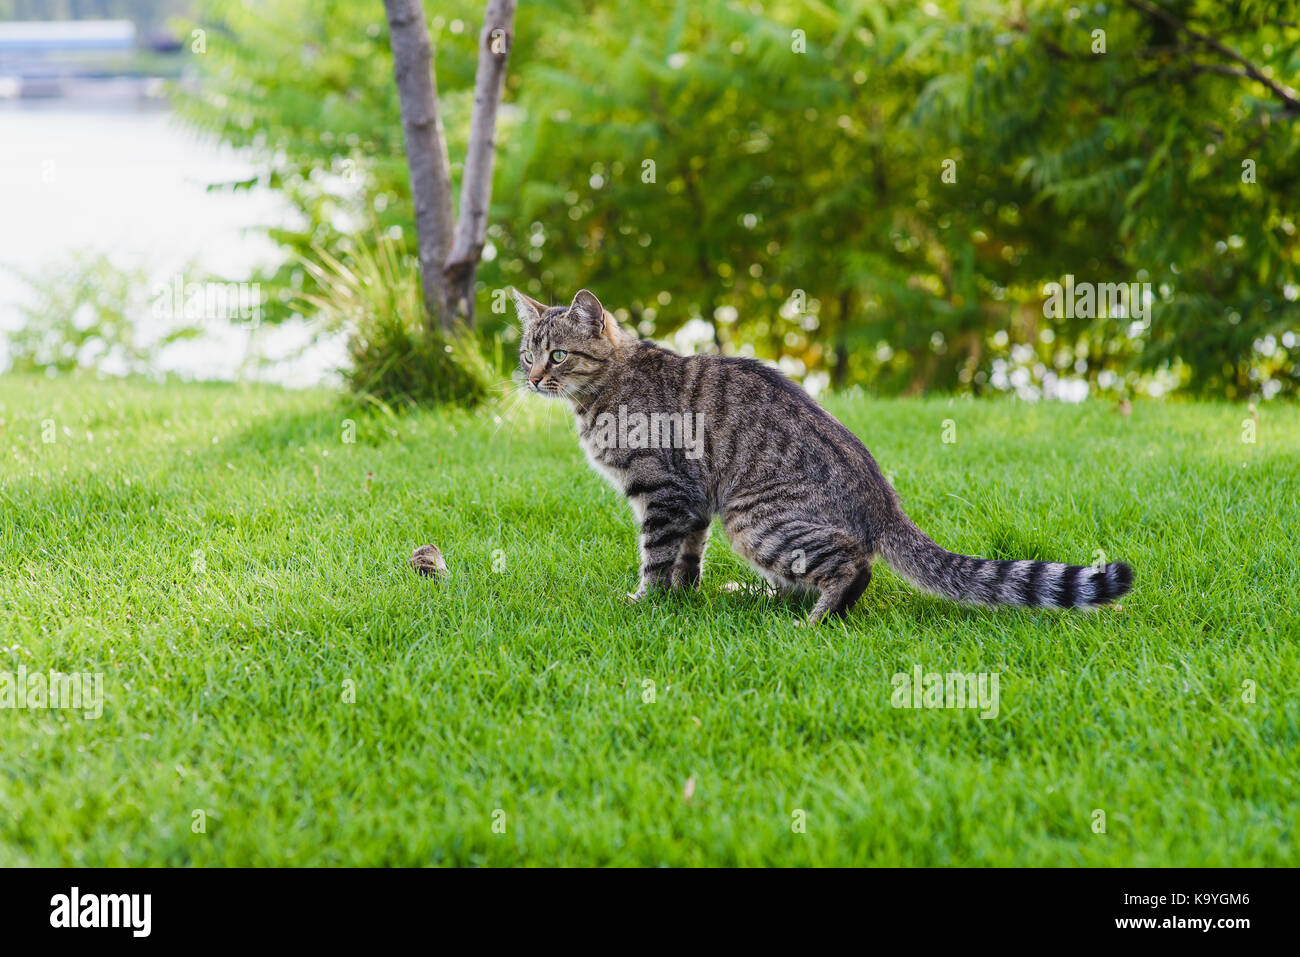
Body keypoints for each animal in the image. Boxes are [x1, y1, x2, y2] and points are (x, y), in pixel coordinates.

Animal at [512, 287, 1133, 624]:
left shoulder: (666, 493)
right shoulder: (694, 503)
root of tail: (885, 503)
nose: (534, 378)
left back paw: (815, 620)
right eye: (526, 354)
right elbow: (687, 557)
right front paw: (681, 600)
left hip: (753, 518)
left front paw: (644, 603)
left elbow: (656, 556)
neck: (604, 389)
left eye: (559, 355)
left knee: (853, 565)